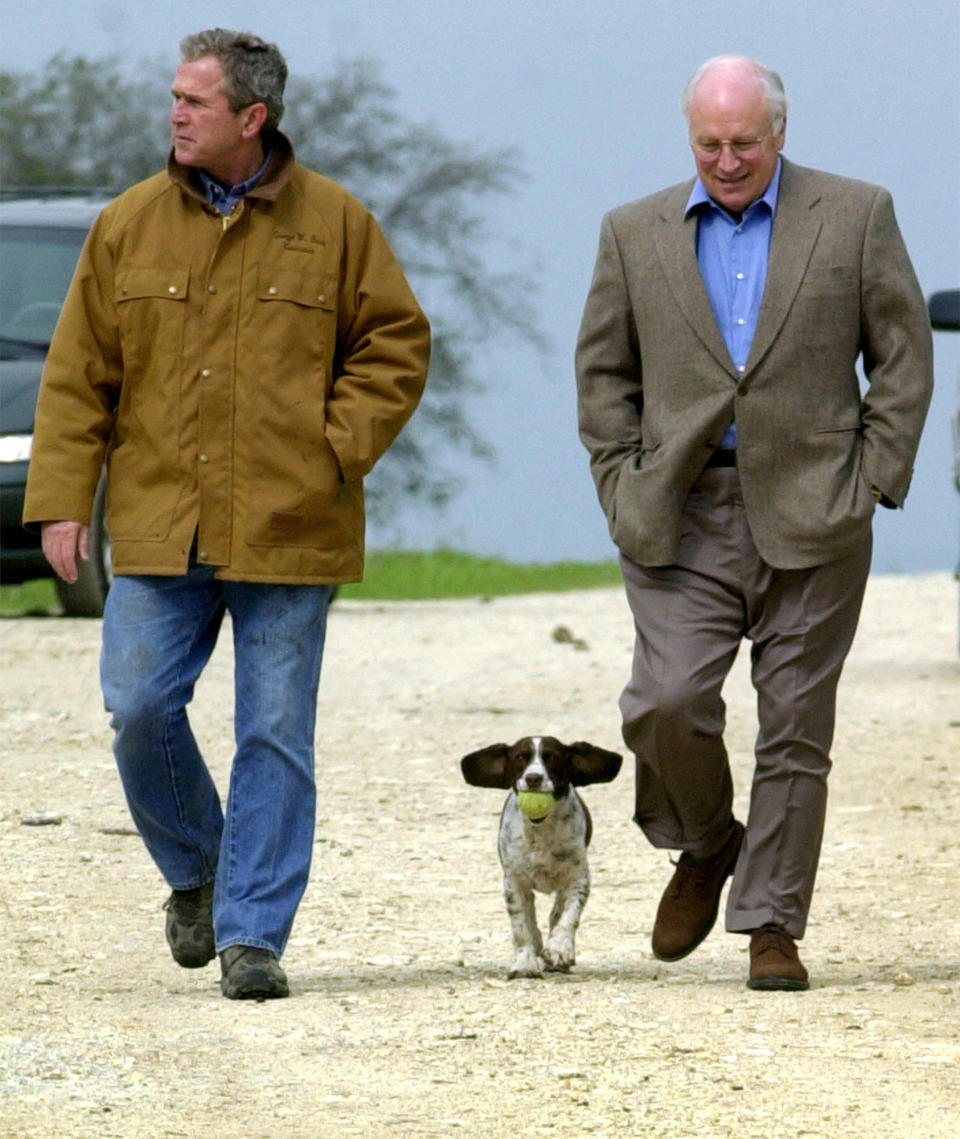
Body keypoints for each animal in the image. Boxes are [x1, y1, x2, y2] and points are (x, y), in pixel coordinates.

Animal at [460, 738, 624, 979]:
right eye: (520, 757)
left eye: (551, 757)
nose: (533, 778)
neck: (541, 831)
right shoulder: (514, 883)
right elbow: (521, 926)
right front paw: (524, 963)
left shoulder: (578, 879)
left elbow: (568, 917)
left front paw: (559, 949)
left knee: (556, 913)